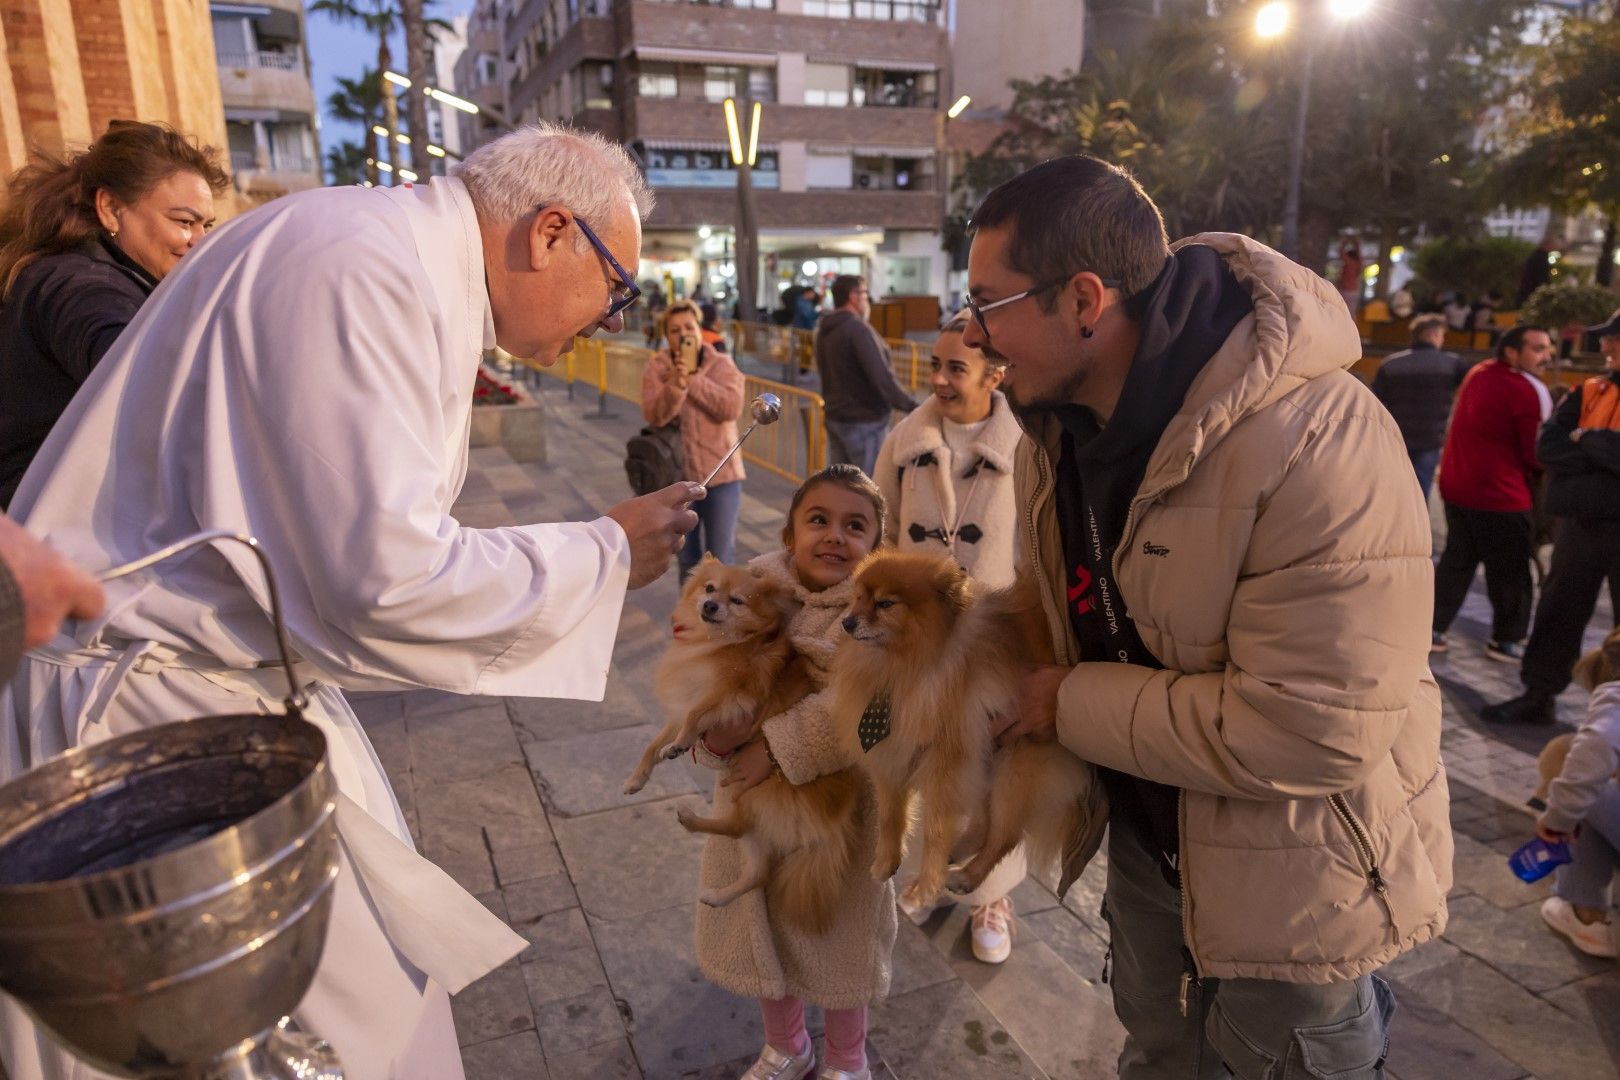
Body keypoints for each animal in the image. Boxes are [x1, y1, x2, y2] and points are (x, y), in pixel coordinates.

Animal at [618, 557, 797, 793]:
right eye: (710, 588)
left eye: (737, 601)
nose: (710, 605)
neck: (715, 641)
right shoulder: (688, 695)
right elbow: (654, 744)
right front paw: (637, 778)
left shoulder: (727, 693)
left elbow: (694, 714)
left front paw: (680, 743)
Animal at [835, 553, 1088, 906]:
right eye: (857, 597)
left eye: (885, 603)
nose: (847, 622)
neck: (904, 666)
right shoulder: (893, 754)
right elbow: (890, 816)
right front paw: (886, 862)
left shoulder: (947, 767)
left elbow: (935, 829)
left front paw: (926, 887)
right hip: (989, 760)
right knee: (984, 826)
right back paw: (957, 855)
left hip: (1015, 771)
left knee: (1003, 837)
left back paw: (967, 877)